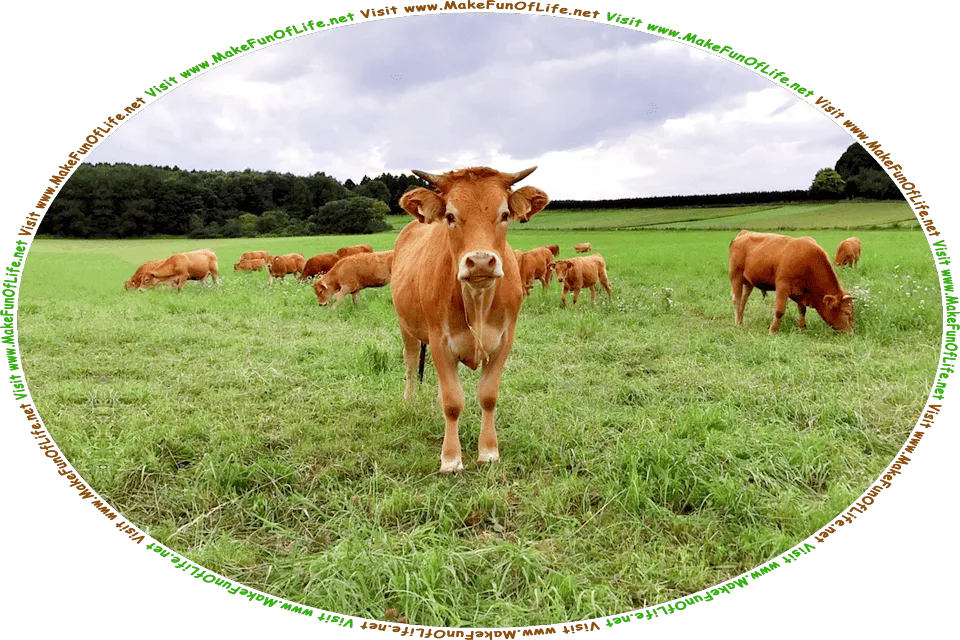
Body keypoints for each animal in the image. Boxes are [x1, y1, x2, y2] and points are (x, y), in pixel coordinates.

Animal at [392, 166, 549, 474]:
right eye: (451, 216)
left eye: (504, 214)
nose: (480, 262)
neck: (477, 302)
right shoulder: (440, 341)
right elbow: (453, 402)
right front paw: (451, 458)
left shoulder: (504, 340)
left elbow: (488, 396)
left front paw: (488, 451)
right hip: (407, 328)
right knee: (410, 363)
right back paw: (409, 401)